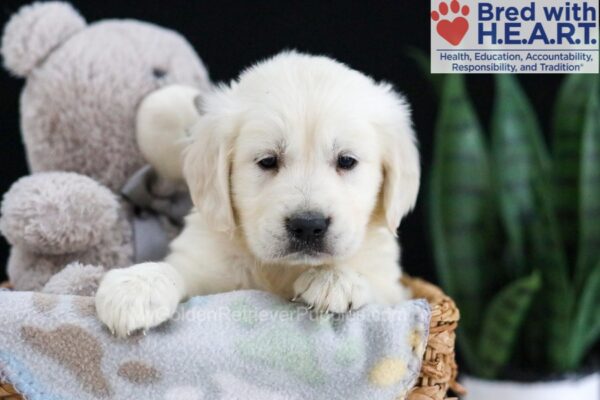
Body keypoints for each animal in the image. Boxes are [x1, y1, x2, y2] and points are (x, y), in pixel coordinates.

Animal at [96, 51, 420, 336]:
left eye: (347, 161)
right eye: (267, 161)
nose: (308, 225)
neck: (281, 270)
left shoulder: (394, 289)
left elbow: (380, 290)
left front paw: (335, 278)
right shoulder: (206, 263)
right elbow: (176, 269)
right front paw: (136, 286)